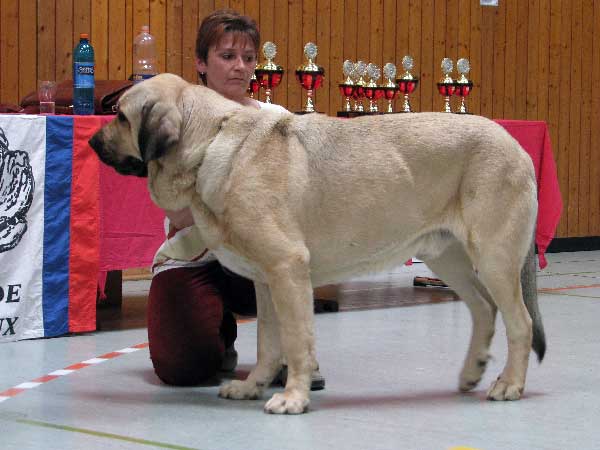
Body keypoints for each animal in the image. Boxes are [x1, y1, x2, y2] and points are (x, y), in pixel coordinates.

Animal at [89, 74, 544, 414]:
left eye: (120, 116)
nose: (92, 142)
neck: (212, 142)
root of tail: (516, 146)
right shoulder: (267, 281)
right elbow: (268, 342)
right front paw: (253, 386)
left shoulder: (287, 269)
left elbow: (295, 340)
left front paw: (293, 397)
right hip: (447, 257)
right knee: (484, 309)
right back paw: (472, 372)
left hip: (494, 259)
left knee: (519, 322)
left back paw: (509, 385)